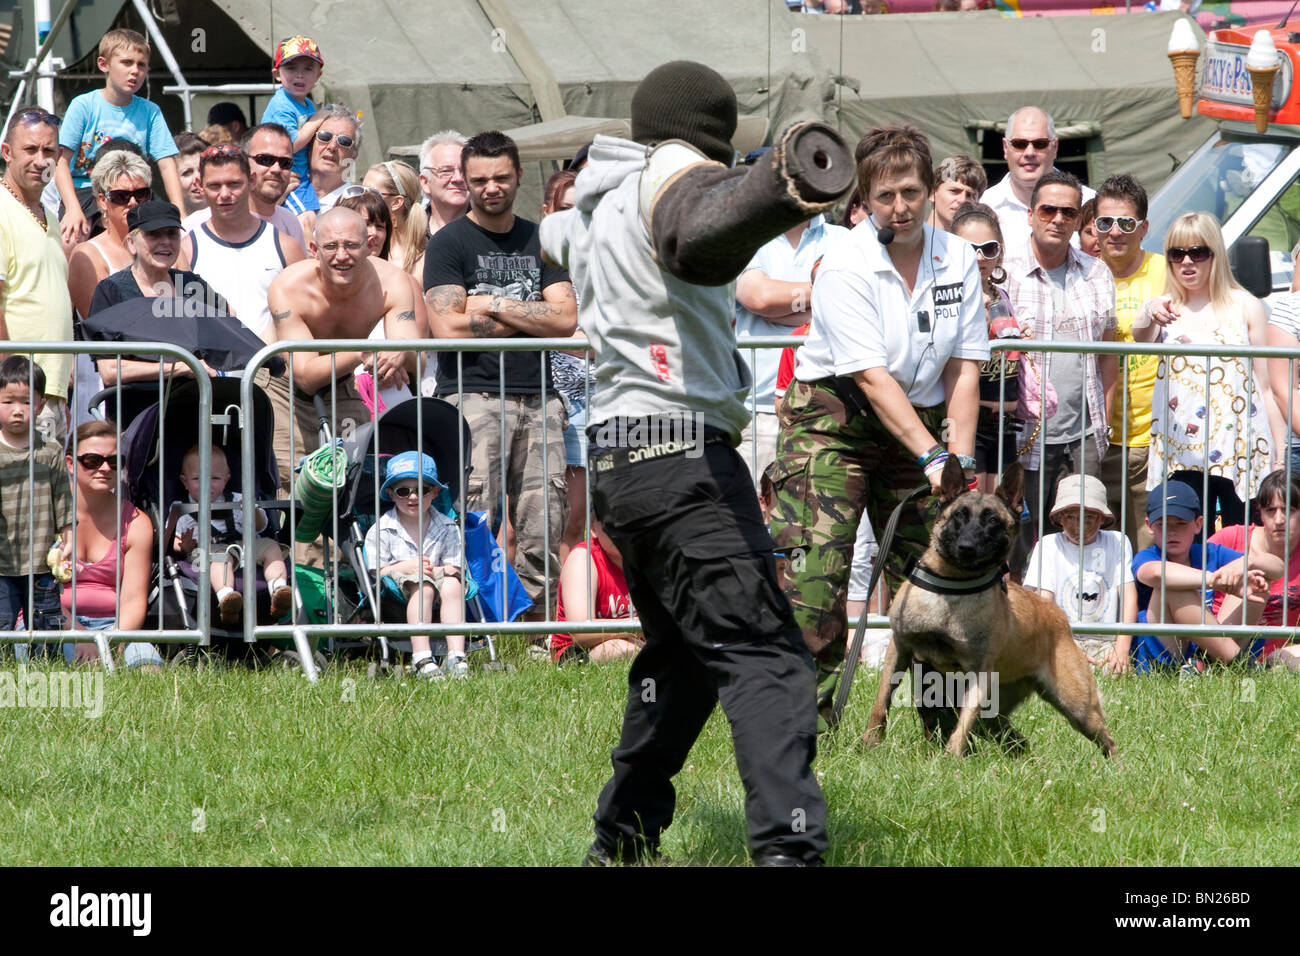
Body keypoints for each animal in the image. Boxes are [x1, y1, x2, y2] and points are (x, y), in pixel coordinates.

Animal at [863, 460, 1118, 759]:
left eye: (993, 520)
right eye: (959, 515)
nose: (967, 547)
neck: (953, 587)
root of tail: (1058, 615)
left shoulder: (978, 672)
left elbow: (963, 721)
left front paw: (951, 756)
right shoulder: (899, 649)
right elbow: (881, 701)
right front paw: (869, 742)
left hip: (1077, 705)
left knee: (1106, 738)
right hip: (995, 716)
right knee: (1017, 740)